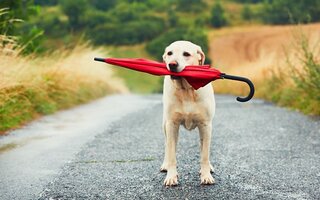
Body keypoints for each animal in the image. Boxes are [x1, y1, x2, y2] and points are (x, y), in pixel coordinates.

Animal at [160, 40, 215, 186]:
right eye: (169, 53)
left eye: (186, 54)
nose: (172, 64)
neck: (187, 90)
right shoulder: (172, 124)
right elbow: (172, 154)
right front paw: (171, 177)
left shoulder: (205, 125)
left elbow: (205, 154)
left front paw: (206, 176)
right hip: (165, 125)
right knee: (168, 145)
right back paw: (165, 165)